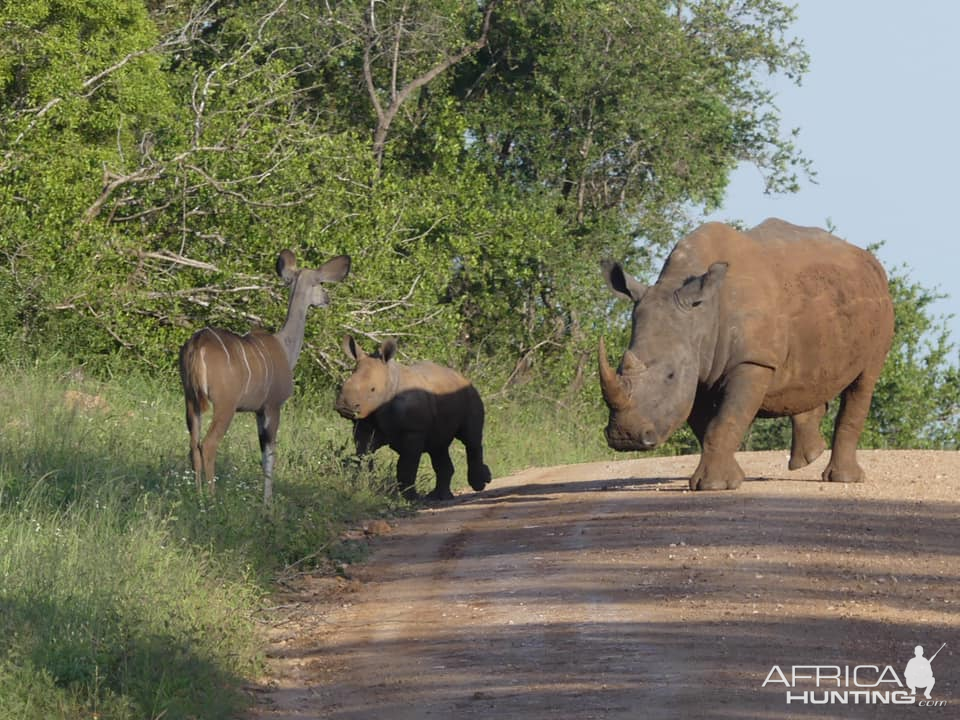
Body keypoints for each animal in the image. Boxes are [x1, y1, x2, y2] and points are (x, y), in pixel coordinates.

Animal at [334, 336, 492, 500]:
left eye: (372, 389)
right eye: (344, 384)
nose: (345, 407)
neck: (389, 381)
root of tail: (463, 377)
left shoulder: (414, 431)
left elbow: (406, 464)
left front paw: (410, 498)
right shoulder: (363, 425)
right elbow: (363, 456)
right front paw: (363, 485)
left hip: (471, 395)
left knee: (470, 439)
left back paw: (480, 483)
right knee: (438, 447)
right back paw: (438, 496)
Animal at [604, 218, 896, 490]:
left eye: (670, 375)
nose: (625, 436)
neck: (701, 313)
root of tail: (871, 263)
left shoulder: (753, 360)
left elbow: (726, 420)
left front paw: (714, 485)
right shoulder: (698, 367)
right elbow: (707, 425)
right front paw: (731, 479)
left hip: (882, 307)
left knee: (865, 379)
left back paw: (843, 478)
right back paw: (808, 458)